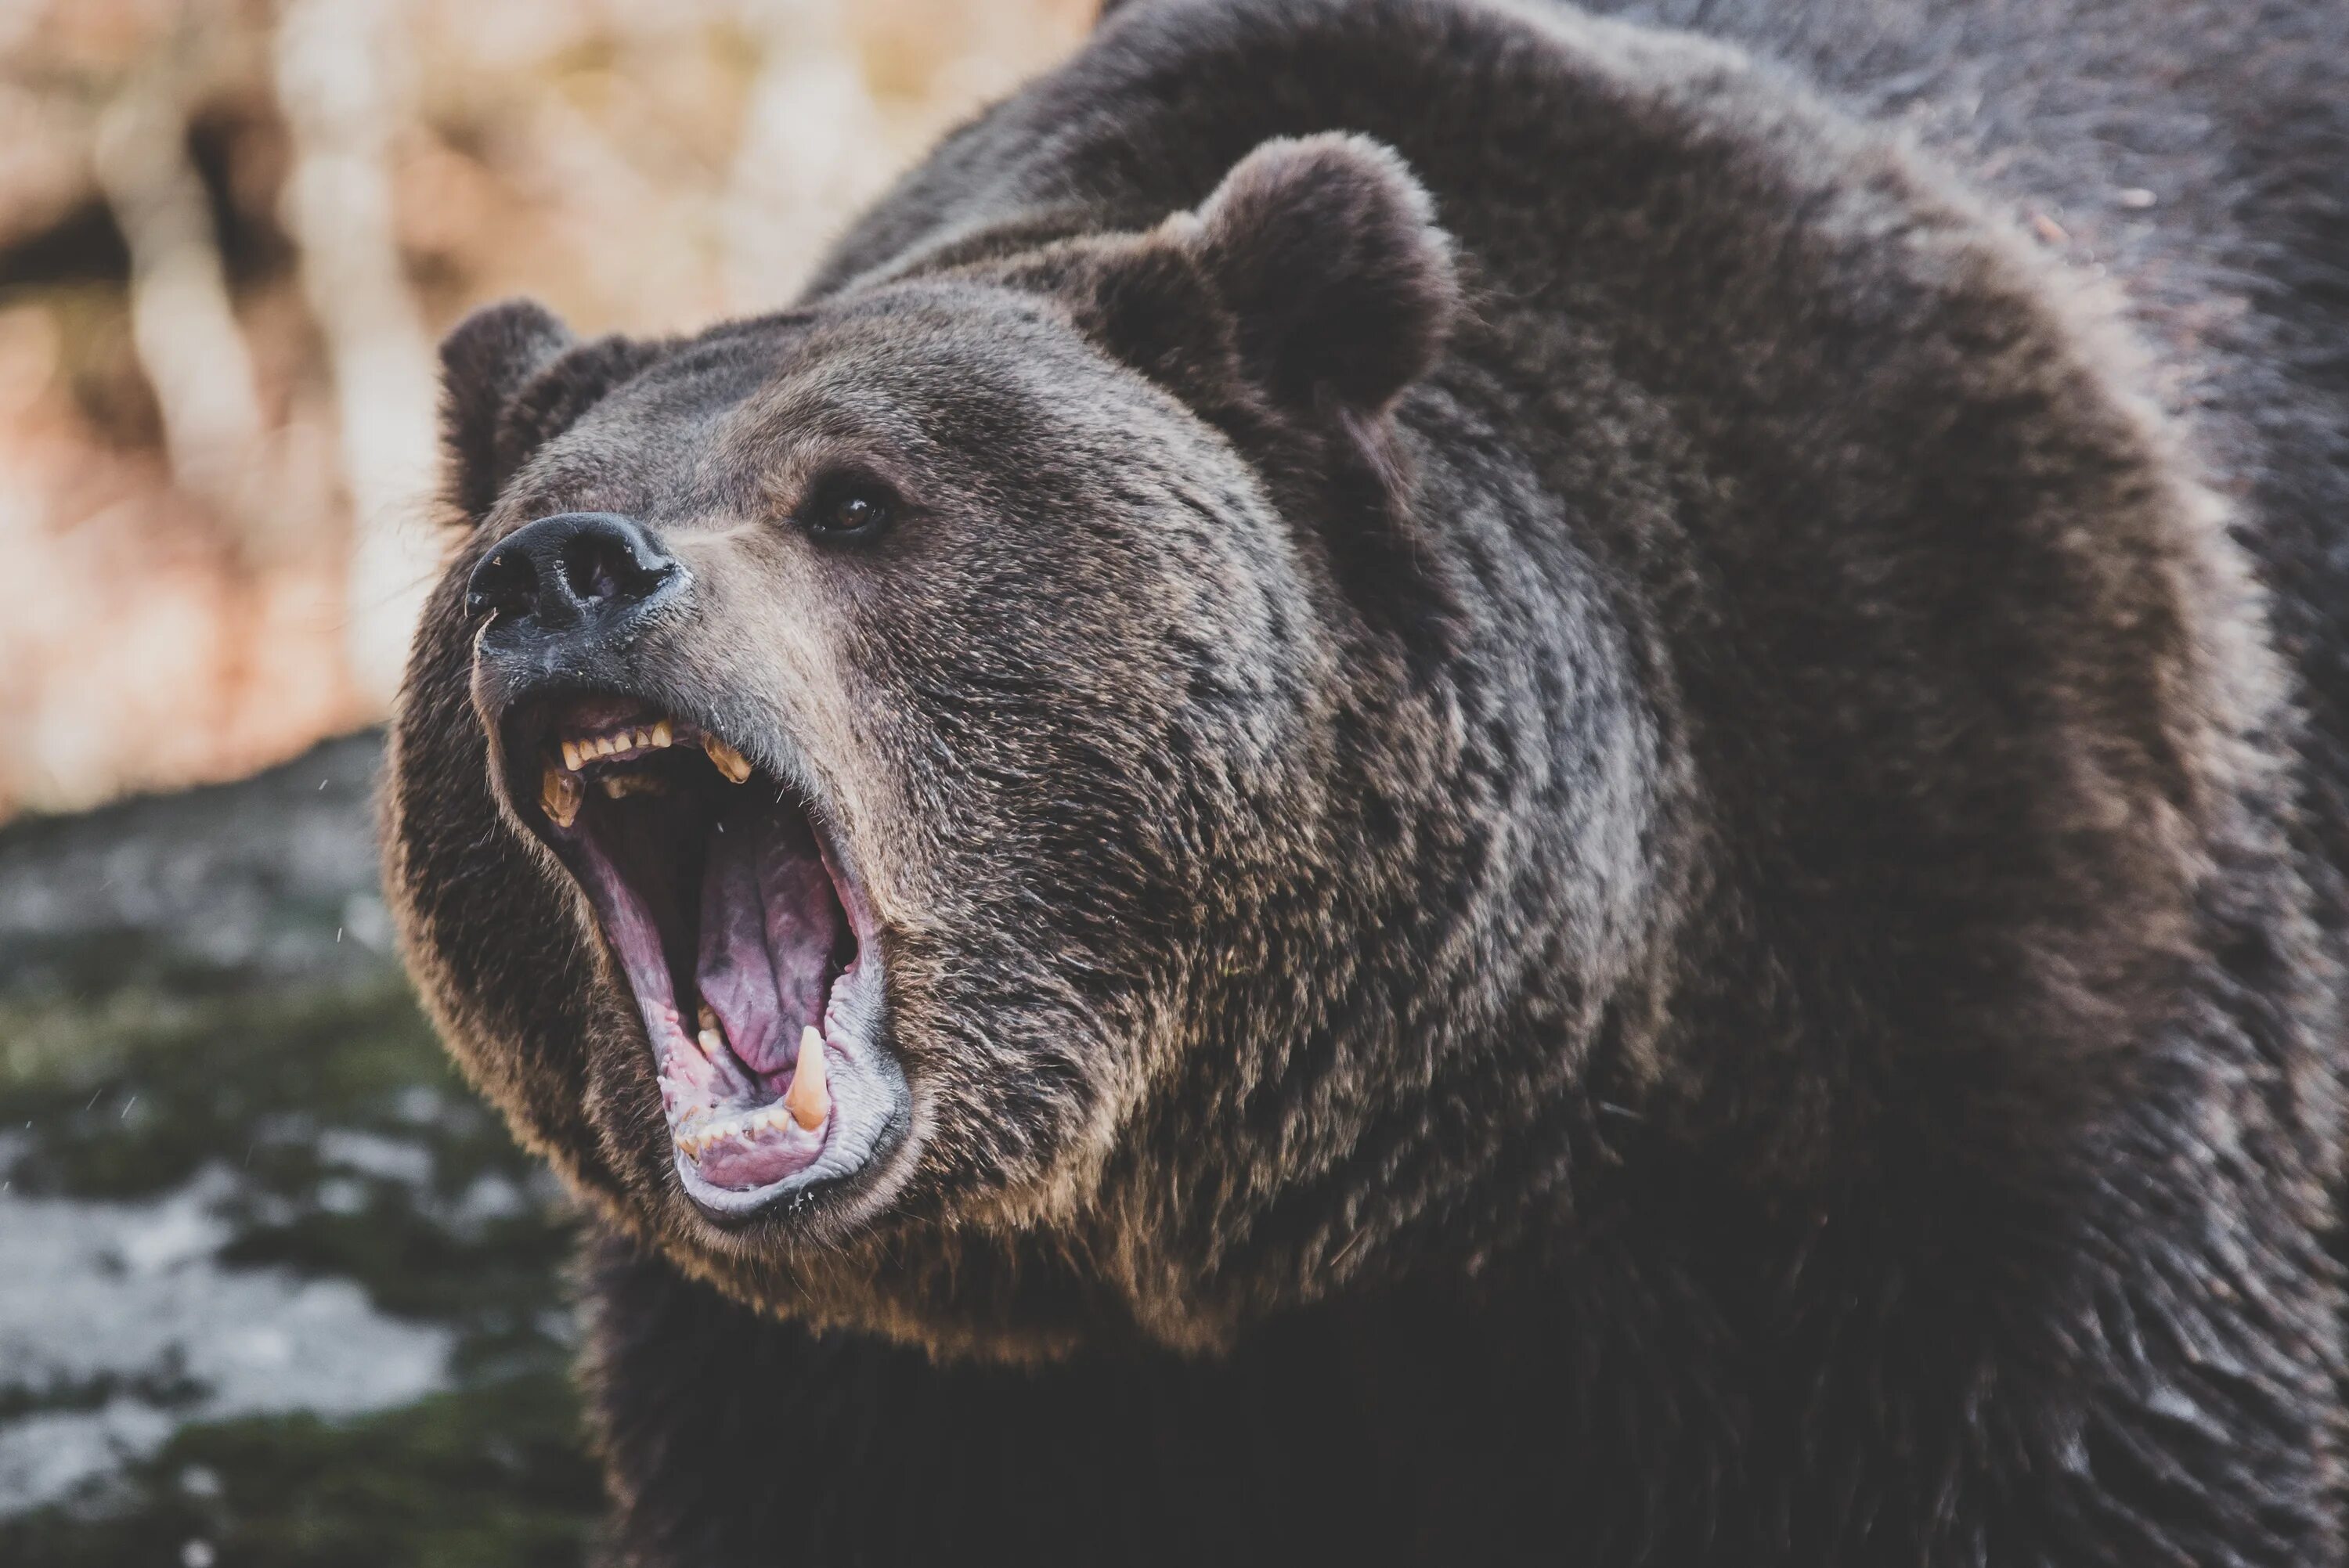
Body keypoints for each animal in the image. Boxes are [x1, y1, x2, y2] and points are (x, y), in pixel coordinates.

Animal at [381, 0, 2349, 1559]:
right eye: (506, 542)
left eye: (854, 498)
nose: (564, 569)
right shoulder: (864, 1378)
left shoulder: (1978, 949)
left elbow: (2119, 1445)